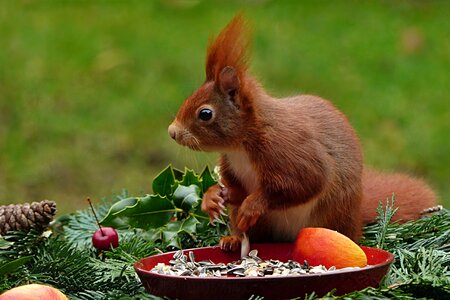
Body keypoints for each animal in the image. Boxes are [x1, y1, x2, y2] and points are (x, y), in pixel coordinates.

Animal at [168, 15, 436, 251]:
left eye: (205, 114)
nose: (172, 132)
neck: (241, 146)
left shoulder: (288, 150)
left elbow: (304, 183)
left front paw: (251, 206)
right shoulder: (232, 165)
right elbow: (237, 191)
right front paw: (212, 197)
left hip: (333, 216)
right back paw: (233, 240)